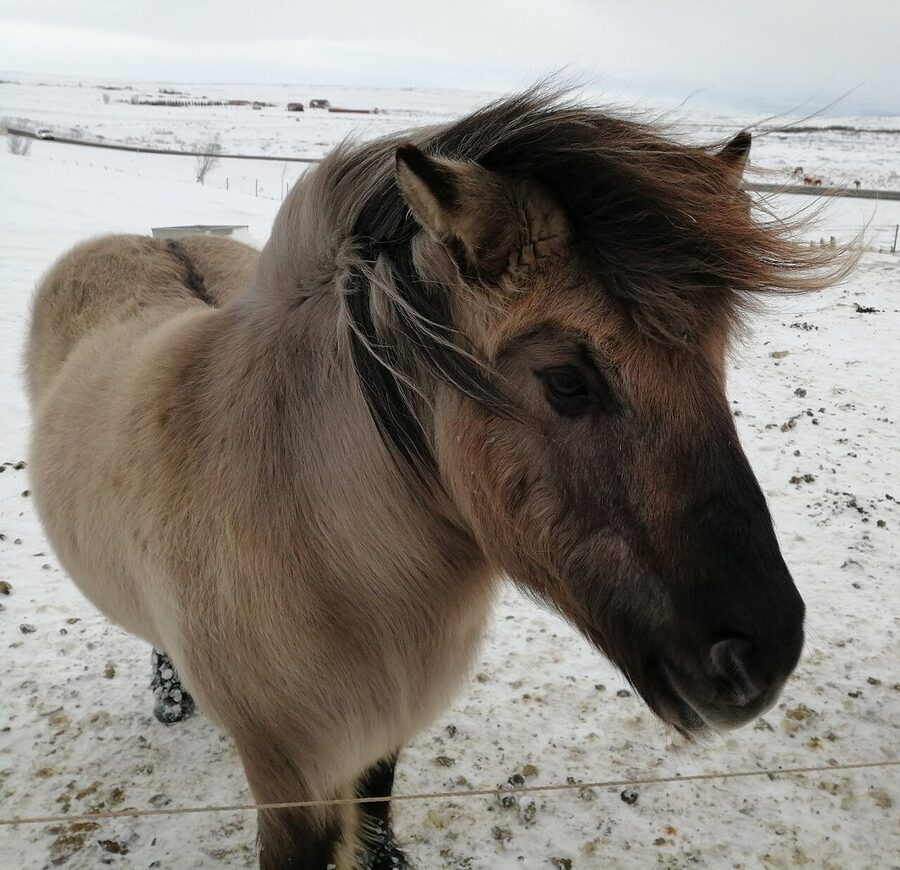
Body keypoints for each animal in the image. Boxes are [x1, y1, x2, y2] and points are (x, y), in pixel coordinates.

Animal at [26, 90, 849, 869]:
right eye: (566, 382)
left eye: (716, 365)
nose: (762, 656)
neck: (305, 532)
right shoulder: (290, 780)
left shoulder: (382, 731)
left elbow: (377, 814)